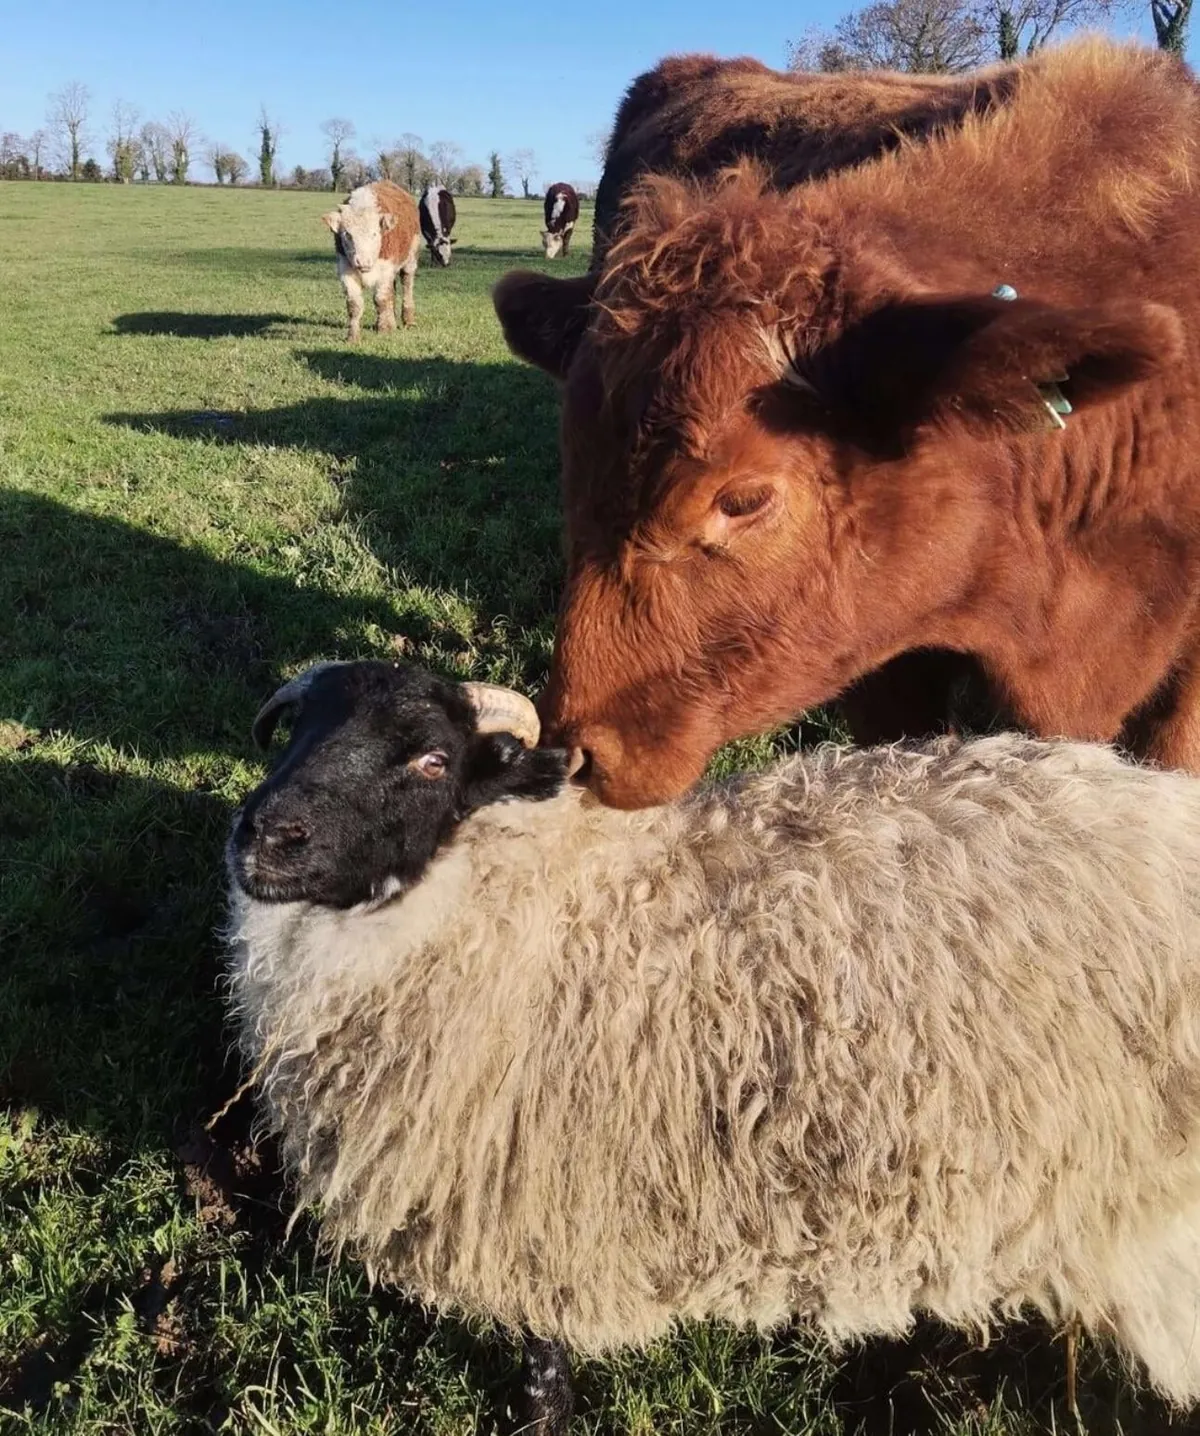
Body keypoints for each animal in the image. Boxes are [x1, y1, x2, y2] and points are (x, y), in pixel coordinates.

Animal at [224, 659, 1200, 1431]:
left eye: (431, 760)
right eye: (294, 733)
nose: (266, 836)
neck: (535, 893)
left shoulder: (539, 1210)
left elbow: (544, 1373)